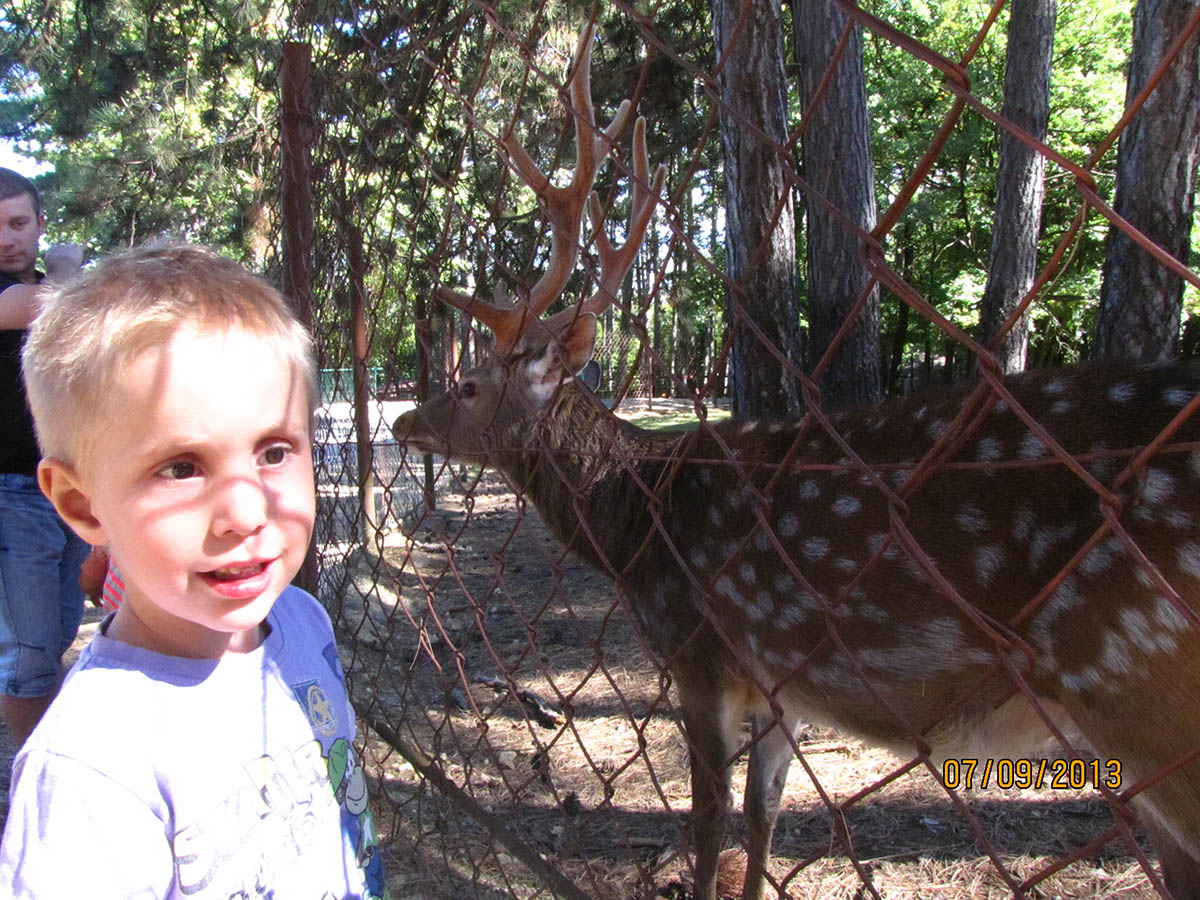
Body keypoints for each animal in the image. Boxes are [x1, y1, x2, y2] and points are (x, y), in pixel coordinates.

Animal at [393, 24, 1200, 900]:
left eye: (468, 384)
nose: (403, 419)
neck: (639, 521)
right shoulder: (783, 681)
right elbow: (764, 812)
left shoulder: (701, 649)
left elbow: (710, 819)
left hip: (1140, 686)